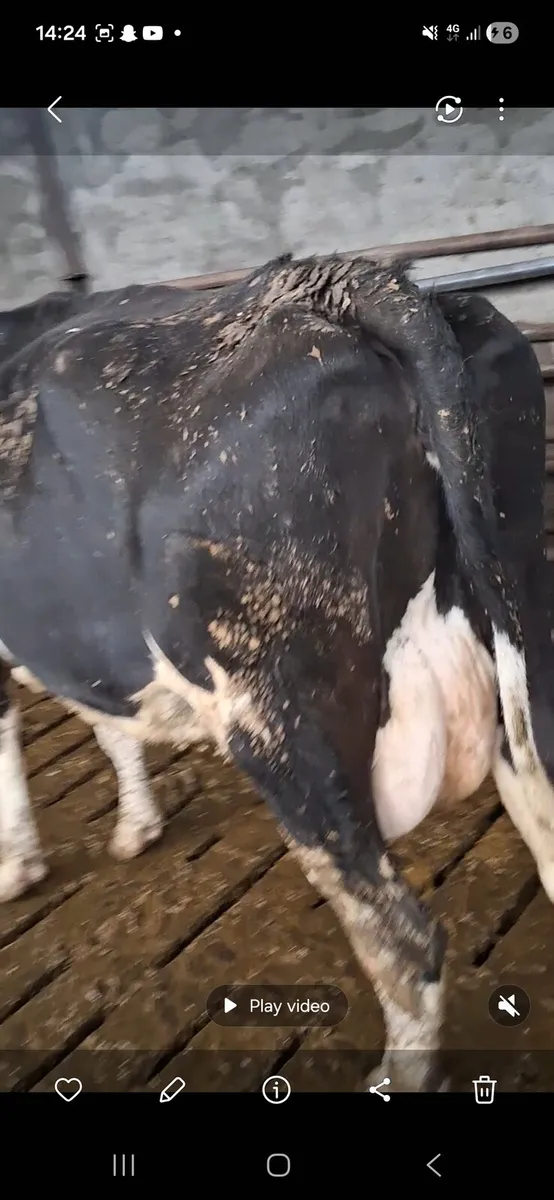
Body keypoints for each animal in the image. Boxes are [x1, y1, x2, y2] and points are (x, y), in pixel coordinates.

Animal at [0, 253, 551, 1093]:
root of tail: (343, 281)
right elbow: (108, 723)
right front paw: (136, 825)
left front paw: (19, 864)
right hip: (521, 607)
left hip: (280, 718)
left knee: (405, 943)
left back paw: (394, 1076)